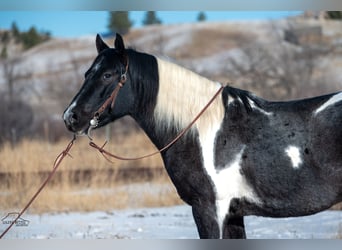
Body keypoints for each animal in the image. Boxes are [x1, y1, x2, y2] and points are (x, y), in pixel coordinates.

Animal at [63, 33, 342, 238]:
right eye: (87, 73)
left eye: (107, 75)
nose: (70, 117)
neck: (201, 131)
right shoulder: (233, 214)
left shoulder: (208, 209)